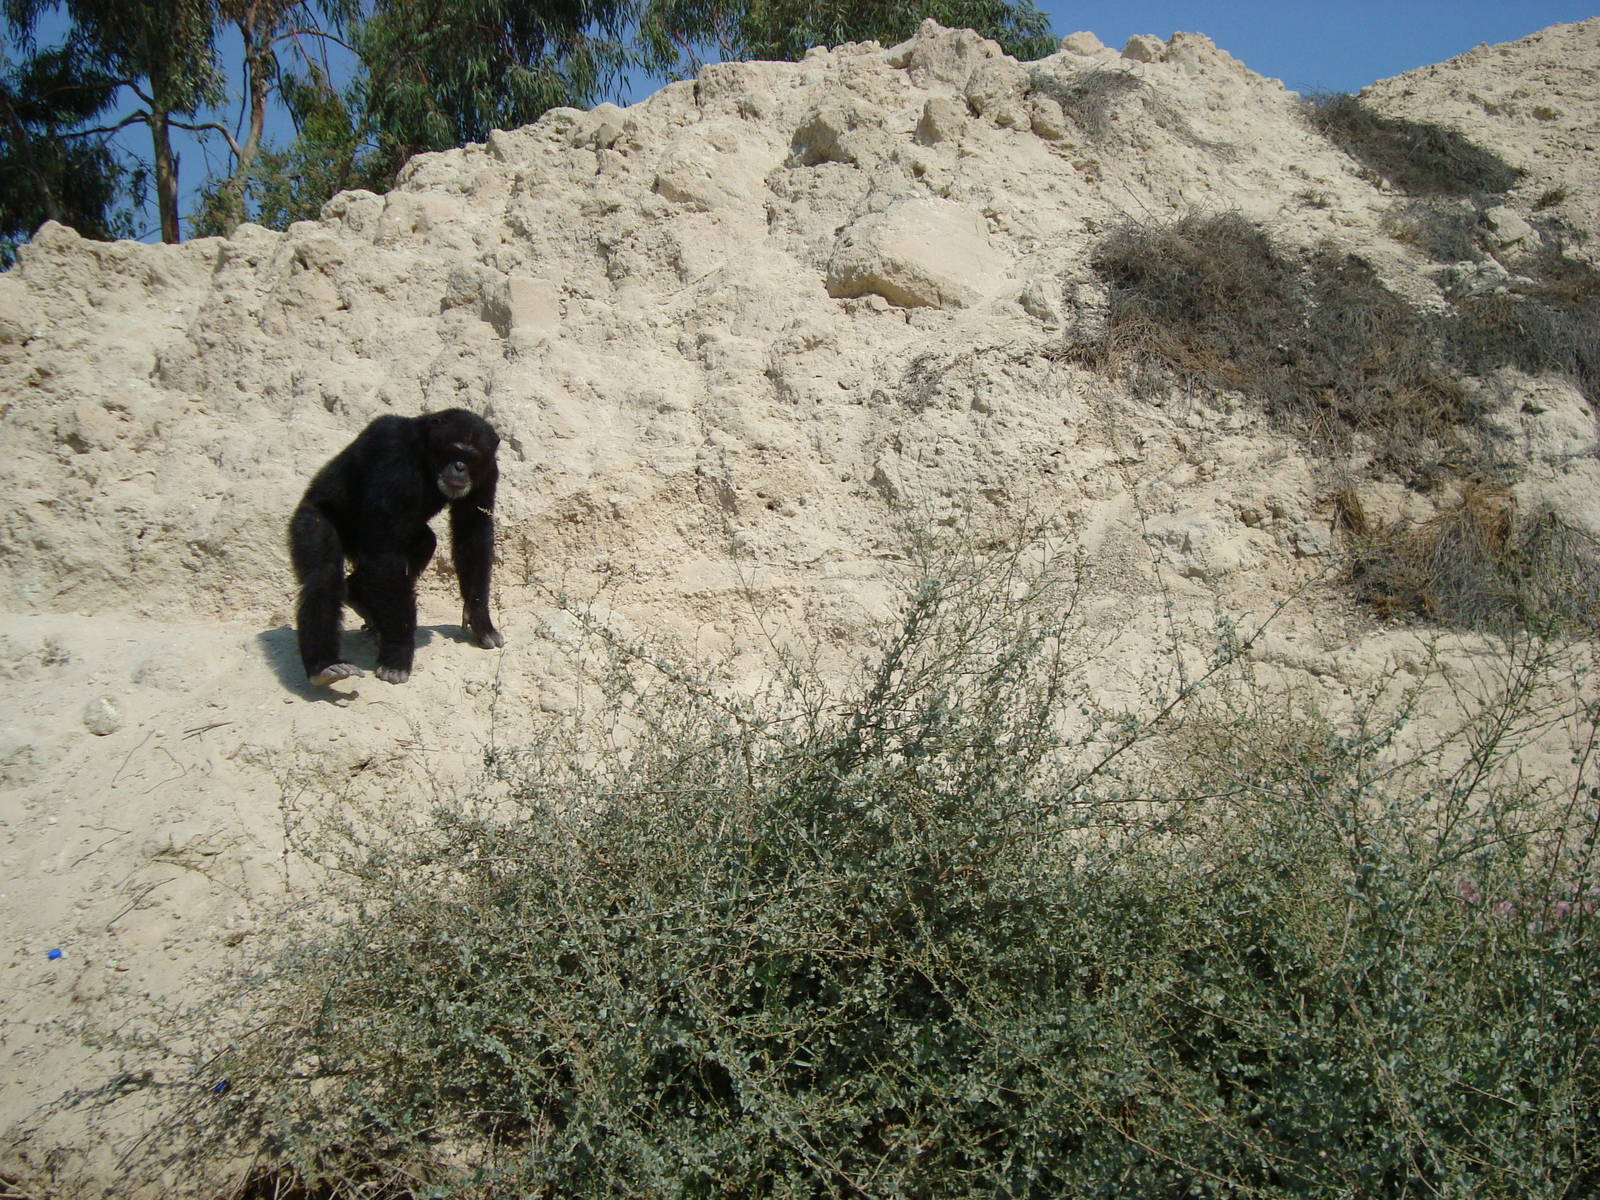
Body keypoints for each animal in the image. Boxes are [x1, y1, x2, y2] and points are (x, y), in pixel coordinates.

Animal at [289, 408, 504, 686]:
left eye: (472, 457)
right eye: (454, 451)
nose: (459, 467)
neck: (425, 456)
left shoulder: (489, 470)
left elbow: (472, 533)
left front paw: (480, 619)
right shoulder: (393, 454)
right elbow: (386, 552)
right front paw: (397, 654)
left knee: (423, 544)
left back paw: (358, 597)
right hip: (311, 518)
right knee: (323, 575)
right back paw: (325, 665)